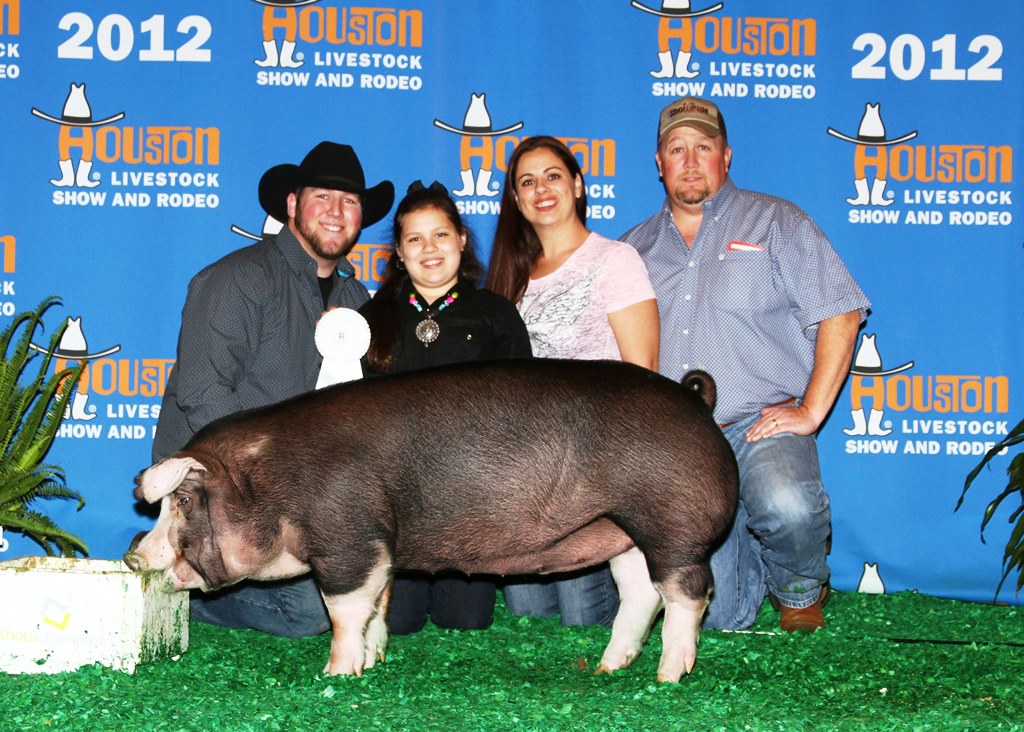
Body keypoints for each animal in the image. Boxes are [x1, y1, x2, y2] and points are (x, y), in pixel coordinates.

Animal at [125, 358, 737, 683]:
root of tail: (697, 401)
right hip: (622, 531)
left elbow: (343, 611)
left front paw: (335, 675)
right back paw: (606, 670)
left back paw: (668, 676)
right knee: (641, 594)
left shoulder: (346, 539)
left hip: (671, 522)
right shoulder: (382, 546)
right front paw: (373, 662)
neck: (269, 481)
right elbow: (377, 607)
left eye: (182, 502)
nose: (133, 553)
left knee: (688, 593)